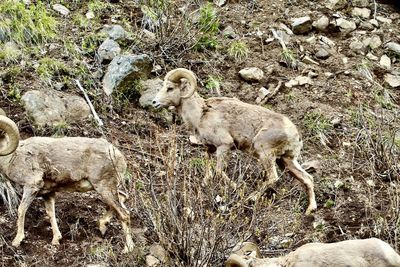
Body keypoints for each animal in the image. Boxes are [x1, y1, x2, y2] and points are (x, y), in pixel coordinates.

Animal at [0, 113, 134, 253]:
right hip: (108, 188)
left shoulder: (31, 187)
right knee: (122, 198)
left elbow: (21, 210)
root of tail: (118, 155)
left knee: (124, 214)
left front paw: (16, 241)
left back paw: (127, 249)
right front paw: (56, 240)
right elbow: (51, 213)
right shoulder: (48, 193)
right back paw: (102, 225)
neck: (11, 158)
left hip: (104, 188)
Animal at [152, 68, 318, 215]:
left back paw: (251, 198)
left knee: (273, 178)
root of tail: (294, 133)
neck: (200, 115)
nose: (154, 102)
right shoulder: (209, 148)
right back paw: (310, 209)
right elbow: (209, 166)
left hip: (265, 154)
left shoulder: (224, 146)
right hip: (286, 161)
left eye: (170, 88)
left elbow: (219, 171)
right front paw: (206, 182)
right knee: (307, 179)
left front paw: (236, 187)